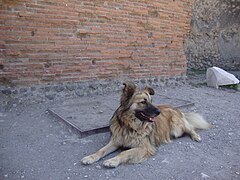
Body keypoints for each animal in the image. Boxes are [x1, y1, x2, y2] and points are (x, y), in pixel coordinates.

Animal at [81, 81, 211, 167]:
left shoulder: (144, 147)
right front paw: (90, 157)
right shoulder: (116, 141)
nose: (158, 112)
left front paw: (112, 160)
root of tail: (175, 108)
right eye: (143, 102)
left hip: (177, 128)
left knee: (190, 128)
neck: (130, 126)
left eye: (151, 101)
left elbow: (125, 152)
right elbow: (101, 151)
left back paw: (196, 136)